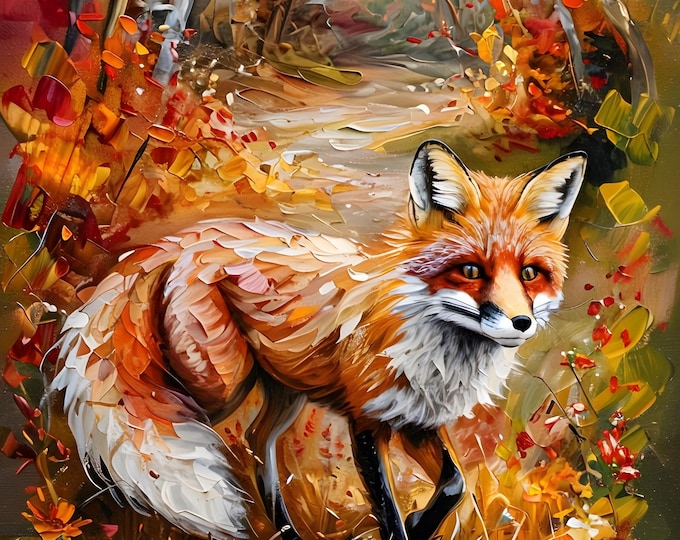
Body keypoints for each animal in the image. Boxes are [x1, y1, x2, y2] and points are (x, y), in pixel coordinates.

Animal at [51, 140, 586, 539]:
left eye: (530, 274)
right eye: (472, 271)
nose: (520, 323)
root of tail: (186, 239)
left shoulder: (415, 419)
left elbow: (453, 485)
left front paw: (422, 519)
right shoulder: (366, 421)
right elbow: (390, 514)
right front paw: (406, 524)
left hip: (283, 390)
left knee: (256, 442)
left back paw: (286, 532)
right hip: (219, 385)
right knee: (171, 429)